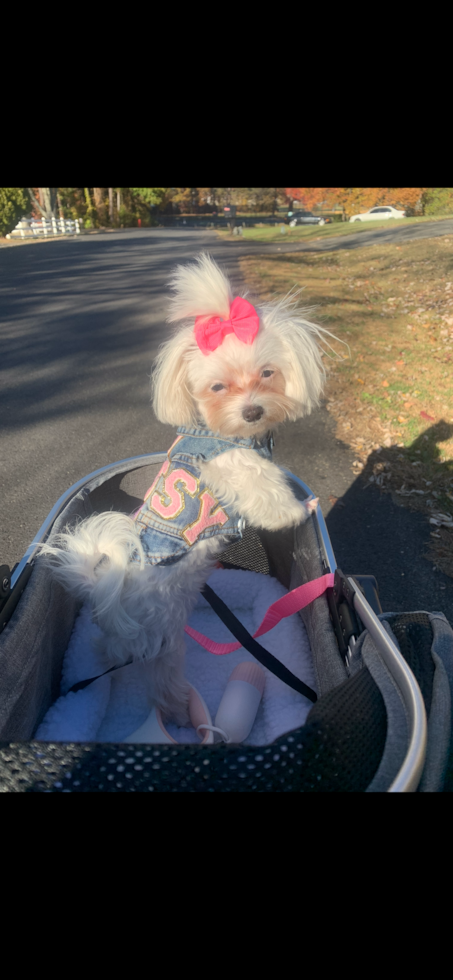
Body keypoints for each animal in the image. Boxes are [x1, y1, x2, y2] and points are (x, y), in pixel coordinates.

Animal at [41, 253, 332, 728]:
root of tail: (104, 585)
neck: (226, 433)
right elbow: (268, 494)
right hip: (163, 638)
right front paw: (299, 509)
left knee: (109, 648)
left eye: (267, 373)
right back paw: (178, 713)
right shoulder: (235, 469)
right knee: (161, 679)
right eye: (217, 387)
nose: (253, 411)